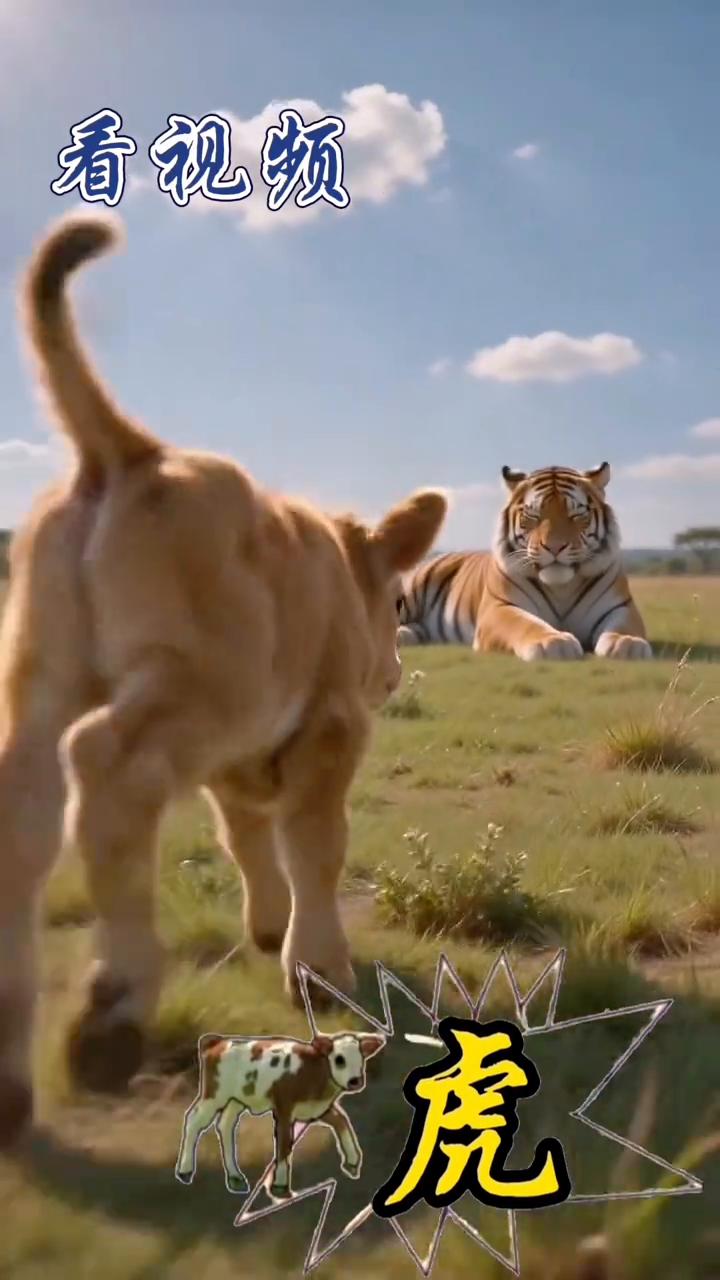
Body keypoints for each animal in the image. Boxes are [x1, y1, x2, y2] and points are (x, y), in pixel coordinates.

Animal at [397, 463, 652, 662]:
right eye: (533, 516)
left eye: (576, 515)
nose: (555, 547)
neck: (561, 587)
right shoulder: (500, 608)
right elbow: (527, 624)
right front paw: (553, 642)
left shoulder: (621, 606)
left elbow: (623, 626)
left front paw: (627, 644)